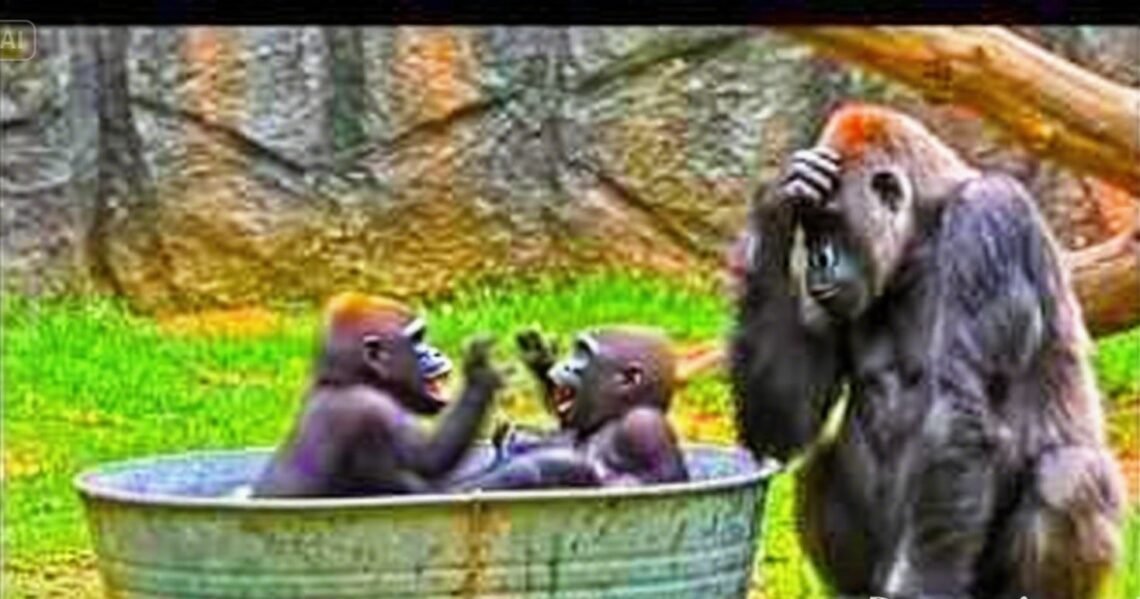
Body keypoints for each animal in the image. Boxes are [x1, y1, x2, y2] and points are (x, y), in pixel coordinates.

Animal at [250, 292, 503, 498]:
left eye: (421, 336)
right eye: (416, 340)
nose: (435, 353)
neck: (347, 379)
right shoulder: (368, 411)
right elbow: (431, 463)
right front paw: (481, 378)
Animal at [449, 326, 690, 491]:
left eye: (584, 355)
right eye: (577, 351)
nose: (567, 365)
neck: (613, 416)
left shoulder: (642, 426)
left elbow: (638, 482)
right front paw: (541, 359)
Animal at [731, 104, 1125, 598]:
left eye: (833, 224)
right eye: (808, 228)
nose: (819, 263)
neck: (924, 230)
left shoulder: (990, 218)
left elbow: (958, 410)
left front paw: (925, 584)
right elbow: (785, 424)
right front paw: (775, 209)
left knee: (1070, 476)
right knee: (818, 463)